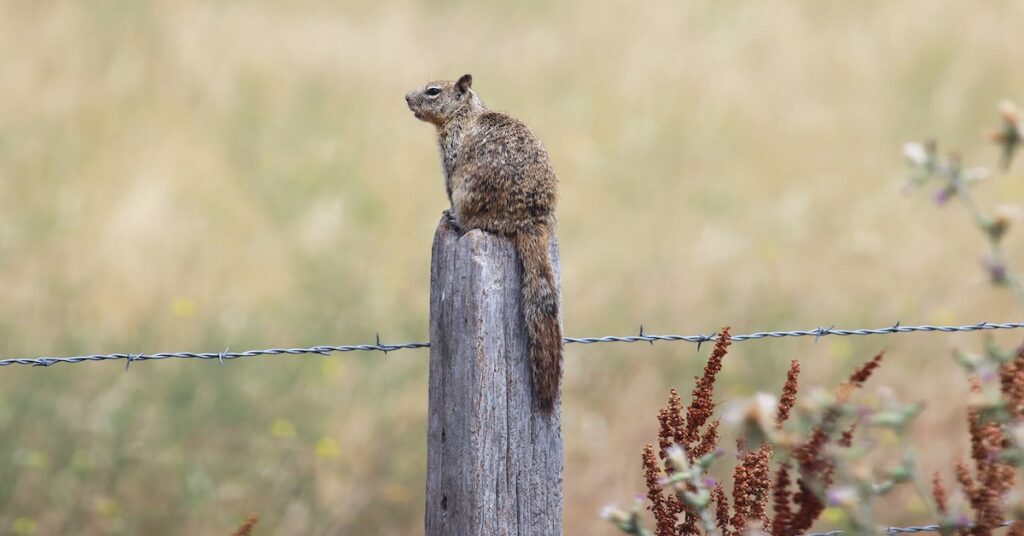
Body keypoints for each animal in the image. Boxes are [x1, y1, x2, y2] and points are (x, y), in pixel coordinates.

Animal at [406, 74, 563, 414]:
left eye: (433, 91)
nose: (406, 98)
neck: (466, 113)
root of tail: (530, 221)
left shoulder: (451, 159)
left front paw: (448, 212)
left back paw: (456, 219)